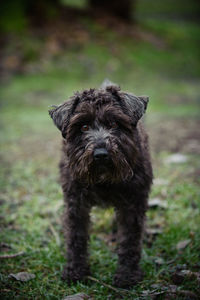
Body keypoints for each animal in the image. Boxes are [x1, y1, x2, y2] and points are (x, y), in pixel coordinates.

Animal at [49, 81, 152, 288]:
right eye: (83, 127)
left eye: (113, 124)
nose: (101, 154)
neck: (104, 180)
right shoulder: (75, 204)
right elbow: (76, 236)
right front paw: (75, 271)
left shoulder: (133, 203)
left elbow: (130, 239)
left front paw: (127, 274)